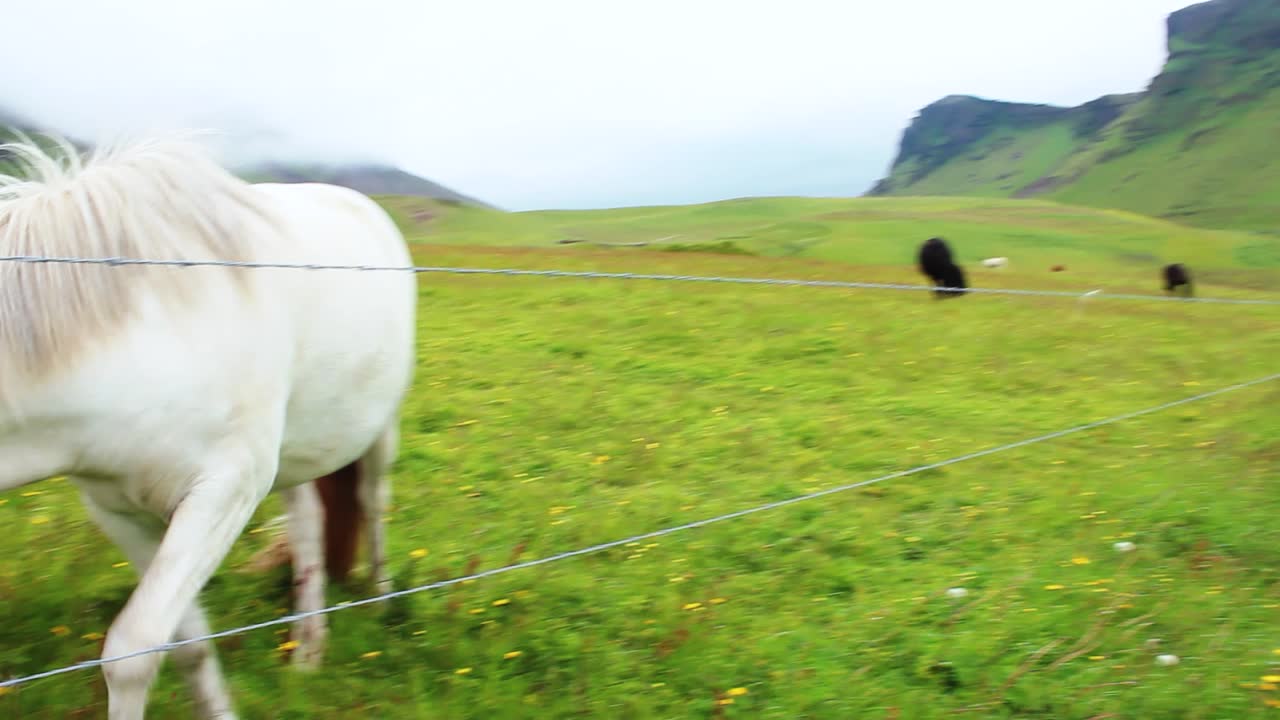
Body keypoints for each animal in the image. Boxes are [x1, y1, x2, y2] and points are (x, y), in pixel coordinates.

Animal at [0, 131, 417, 719]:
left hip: (379, 426)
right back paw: (309, 648)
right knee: (308, 523)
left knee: (373, 501)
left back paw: (380, 597)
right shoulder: (119, 511)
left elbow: (131, 652)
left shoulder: (222, 493)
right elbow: (184, 643)